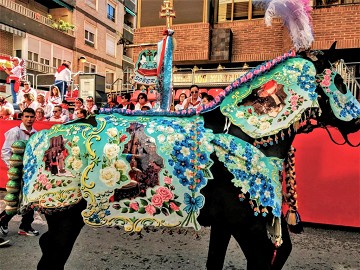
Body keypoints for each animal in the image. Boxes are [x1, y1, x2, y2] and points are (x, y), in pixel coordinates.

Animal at [2, 1, 360, 268]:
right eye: (339, 82)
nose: (357, 119)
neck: (242, 132)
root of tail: (36, 136)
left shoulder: (230, 223)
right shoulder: (248, 226)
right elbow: (267, 257)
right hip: (65, 216)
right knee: (52, 256)